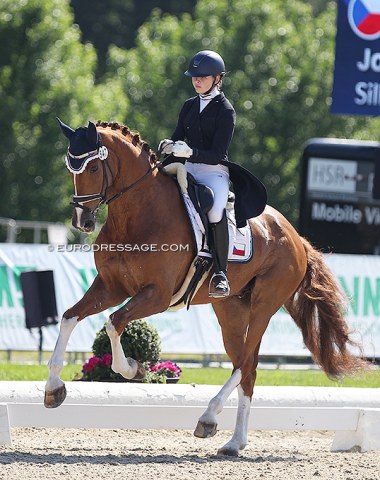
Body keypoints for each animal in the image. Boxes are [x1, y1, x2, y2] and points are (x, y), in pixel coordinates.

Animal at [44, 118, 368, 456]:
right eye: (70, 168)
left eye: (94, 168)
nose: (81, 221)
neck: (137, 214)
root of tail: (295, 236)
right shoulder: (112, 288)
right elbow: (69, 317)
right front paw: (54, 388)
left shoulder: (157, 295)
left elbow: (114, 323)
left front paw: (134, 369)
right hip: (230, 310)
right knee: (247, 368)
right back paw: (233, 441)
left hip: (264, 304)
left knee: (246, 363)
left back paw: (209, 416)